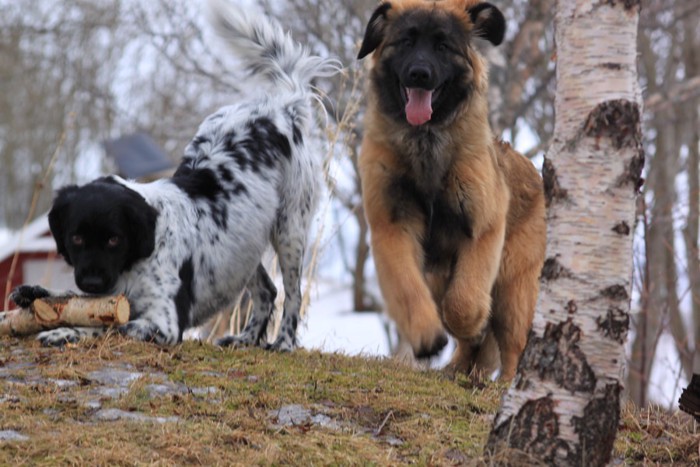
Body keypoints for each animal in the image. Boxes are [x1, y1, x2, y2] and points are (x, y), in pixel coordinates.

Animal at [9, 0, 338, 352]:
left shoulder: (164, 324)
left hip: (289, 231)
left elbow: (107, 327)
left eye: (114, 239)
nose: (92, 281)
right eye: (77, 238)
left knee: (292, 294)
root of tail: (282, 107)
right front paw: (36, 292)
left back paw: (284, 342)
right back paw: (245, 338)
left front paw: (63, 331)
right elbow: (75, 300)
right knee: (267, 290)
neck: (139, 257)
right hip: (242, 247)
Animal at [358, 0, 544, 380]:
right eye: (406, 41)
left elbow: (463, 304)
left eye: (443, 46)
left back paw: (505, 383)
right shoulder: (391, 228)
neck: (425, 143)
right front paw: (426, 337)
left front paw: (472, 324)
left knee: (514, 344)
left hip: (512, 286)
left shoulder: (482, 230)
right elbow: (409, 290)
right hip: (443, 274)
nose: (419, 74)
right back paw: (460, 369)